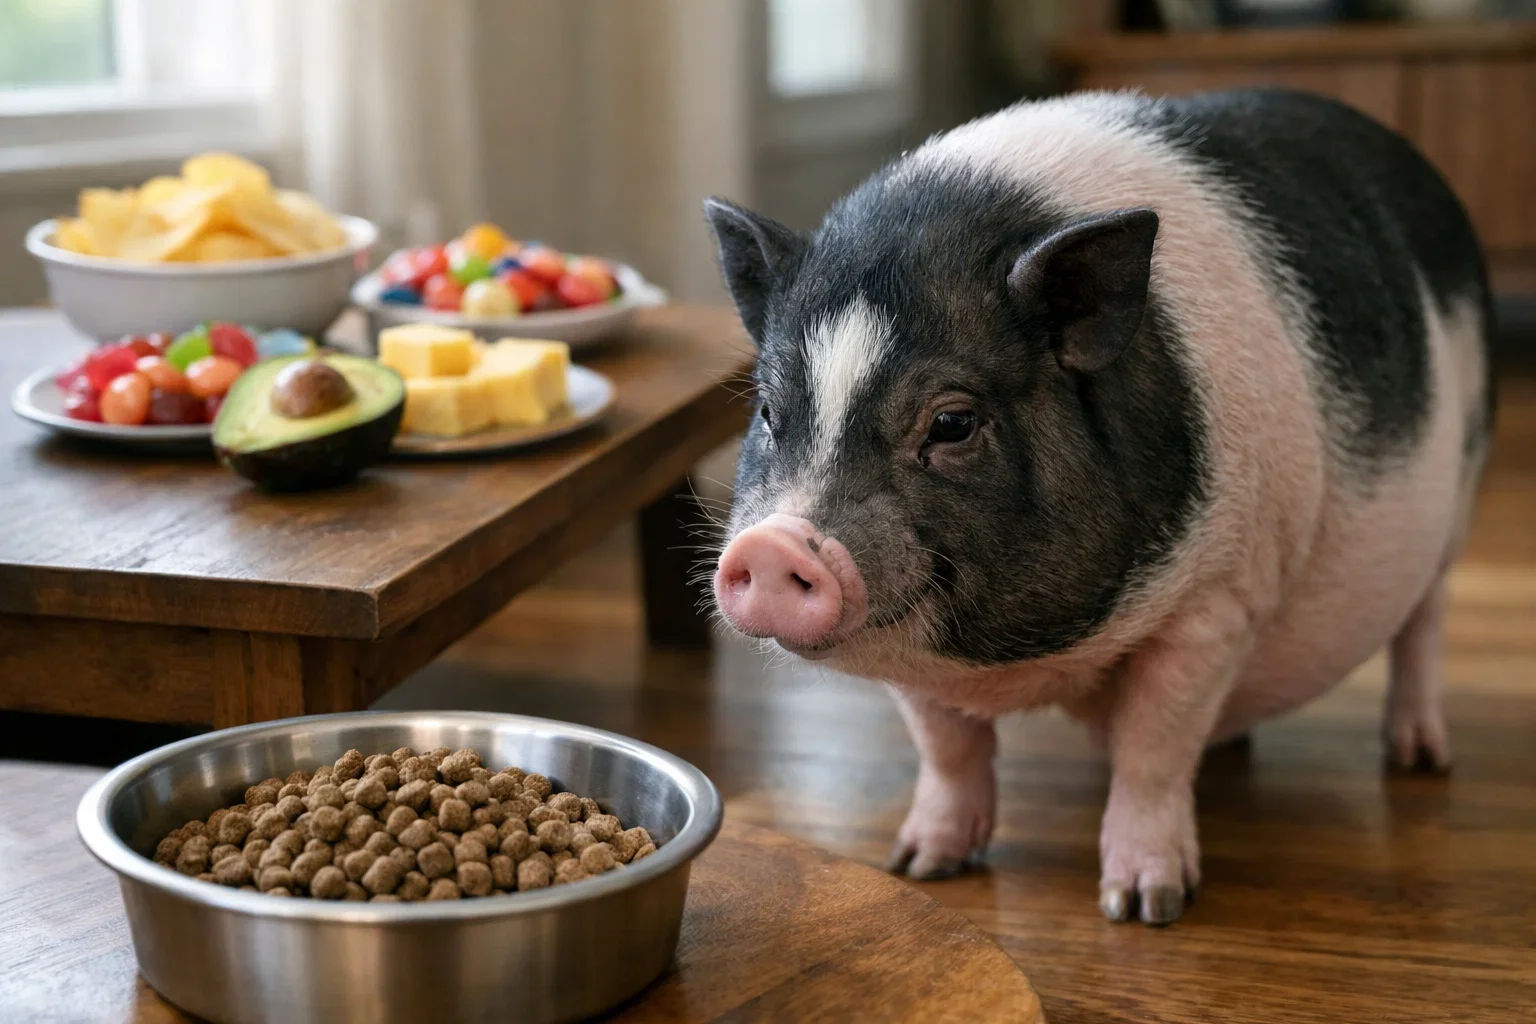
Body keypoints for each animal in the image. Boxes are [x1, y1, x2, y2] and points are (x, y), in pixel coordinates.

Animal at [703, 88, 1493, 925]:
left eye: (953, 424)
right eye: (767, 411)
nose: (774, 546)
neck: (1029, 660)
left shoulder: (1217, 601)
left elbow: (1153, 748)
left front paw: (1143, 907)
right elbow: (948, 748)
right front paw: (921, 866)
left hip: (1462, 483)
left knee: (1425, 619)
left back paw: (1420, 758)